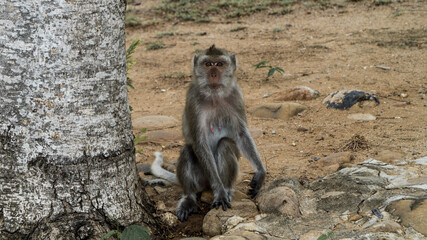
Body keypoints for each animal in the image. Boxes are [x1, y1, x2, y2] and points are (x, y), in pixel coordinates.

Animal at [150, 45, 264, 221]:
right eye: (208, 64)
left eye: (220, 64)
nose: (213, 74)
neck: (214, 96)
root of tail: (206, 184)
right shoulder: (193, 100)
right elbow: (199, 141)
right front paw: (220, 193)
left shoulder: (237, 96)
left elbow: (241, 134)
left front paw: (260, 173)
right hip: (202, 177)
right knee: (188, 151)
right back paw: (190, 197)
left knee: (225, 145)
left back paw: (227, 189)